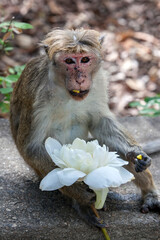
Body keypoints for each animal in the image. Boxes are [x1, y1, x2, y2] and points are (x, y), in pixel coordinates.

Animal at [9, 28, 159, 227]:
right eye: (69, 61)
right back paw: (84, 206)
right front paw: (78, 191)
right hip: (42, 172)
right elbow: (31, 147)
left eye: (85, 59)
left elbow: (101, 122)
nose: (80, 78)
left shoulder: (99, 81)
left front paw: (135, 154)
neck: (64, 89)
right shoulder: (37, 95)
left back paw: (149, 193)